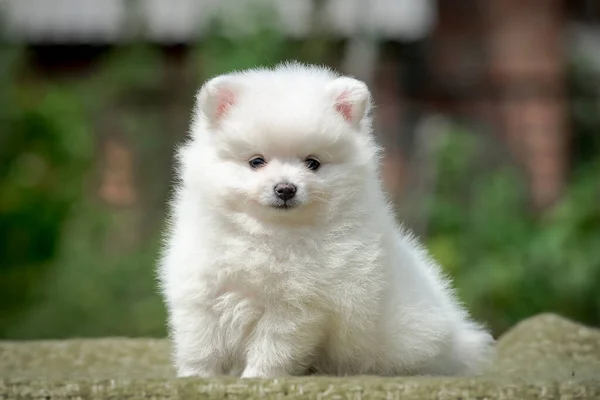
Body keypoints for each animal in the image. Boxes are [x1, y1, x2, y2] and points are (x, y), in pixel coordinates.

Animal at [157, 60, 494, 378]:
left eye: (313, 163)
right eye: (256, 162)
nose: (286, 188)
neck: (270, 234)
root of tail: (459, 333)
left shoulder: (297, 306)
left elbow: (273, 345)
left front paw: (258, 376)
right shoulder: (202, 287)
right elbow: (200, 339)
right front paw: (196, 375)